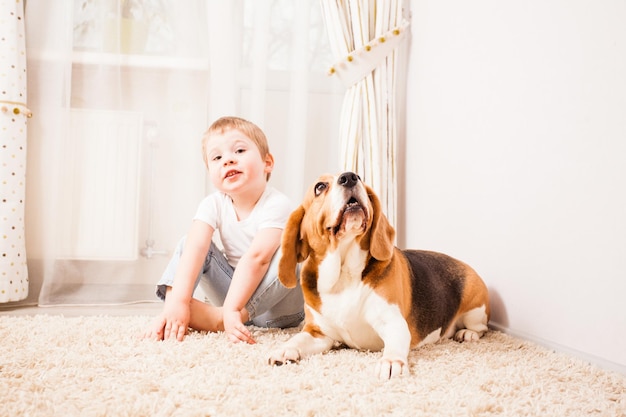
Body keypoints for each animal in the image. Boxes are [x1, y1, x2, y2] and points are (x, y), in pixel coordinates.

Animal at [266, 171, 490, 378]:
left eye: (360, 178)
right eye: (320, 187)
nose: (350, 177)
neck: (343, 275)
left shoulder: (392, 322)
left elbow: (394, 345)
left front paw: (391, 361)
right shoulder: (318, 333)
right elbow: (298, 338)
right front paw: (284, 349)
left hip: (475, 309)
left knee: (481, 328)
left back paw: (467, 333)